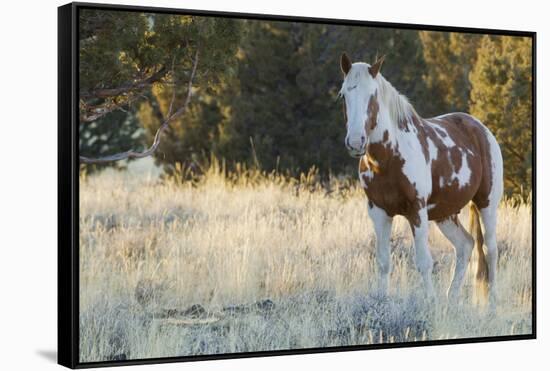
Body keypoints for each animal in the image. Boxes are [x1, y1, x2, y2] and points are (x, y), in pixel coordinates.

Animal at [336, 52, 504, 308]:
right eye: (344, 94)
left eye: (372, 95)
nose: (356, 142)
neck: (389, 157)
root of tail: (481, 129)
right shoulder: (378, 212)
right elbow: (383, 262)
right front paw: (381, 303)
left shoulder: (417, 210)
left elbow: (424, 262)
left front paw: (430, 302)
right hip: (445, 214)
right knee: (465, 245)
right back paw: (451, 300)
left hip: (487, 203)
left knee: (490, 249)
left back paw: (493, 302)